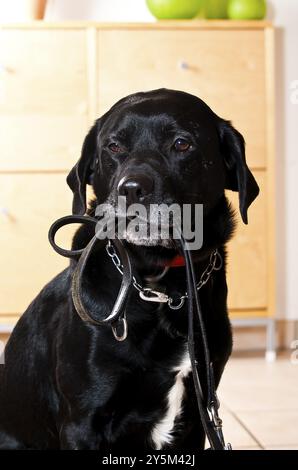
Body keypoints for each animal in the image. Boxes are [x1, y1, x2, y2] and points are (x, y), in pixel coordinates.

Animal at [0, 88, 258, 452]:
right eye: (114, 146)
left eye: (182, 143)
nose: (131, 188)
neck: (162, 289)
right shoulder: (83, 421)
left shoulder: (198, 414)